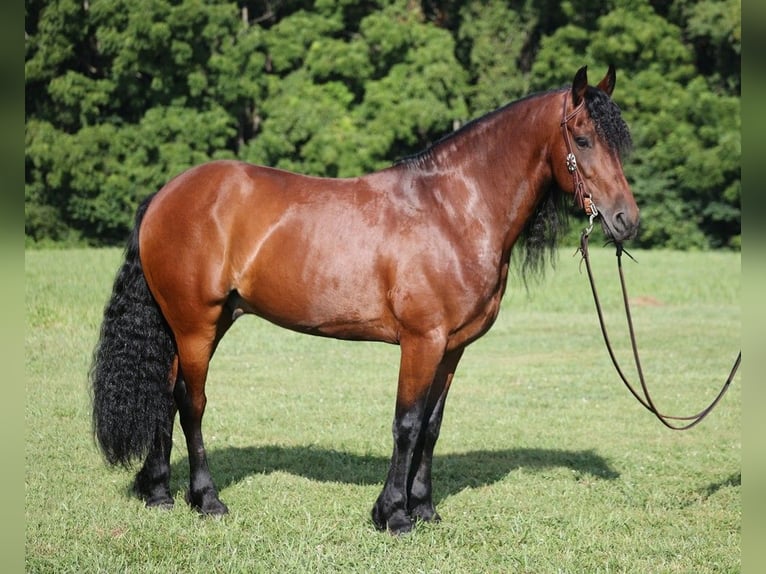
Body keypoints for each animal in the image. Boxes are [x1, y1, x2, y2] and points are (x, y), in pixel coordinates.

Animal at [91, 66, 640, 536]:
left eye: (621, 143)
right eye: (584, 139)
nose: (626, 221)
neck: (452, 210)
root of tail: (164, 195)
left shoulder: (452, 348)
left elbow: (432, 427)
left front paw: (425, 509)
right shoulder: (421, 341)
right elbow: (407, 424)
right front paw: (393, 515)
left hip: (197, 323)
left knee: (165, 394)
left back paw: (158, 493)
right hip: (195, 325)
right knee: (191, 401)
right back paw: (206, 499)